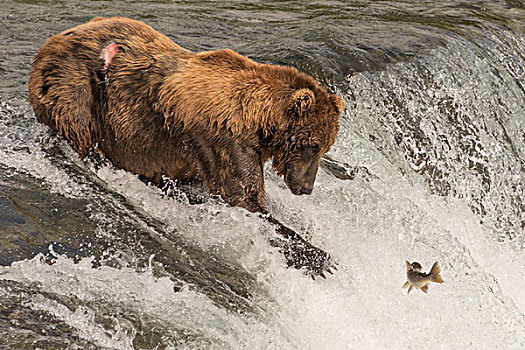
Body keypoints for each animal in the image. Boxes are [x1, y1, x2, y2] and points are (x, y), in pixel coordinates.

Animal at [30, 17, 346, 278]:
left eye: (325, 147)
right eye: (312, 146)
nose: (305, 188)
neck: (256, 121)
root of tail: (50, 41)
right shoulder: (223, 140)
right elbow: (242, 197)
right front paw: (319, 258)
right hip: (78, 92)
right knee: (80, 132)